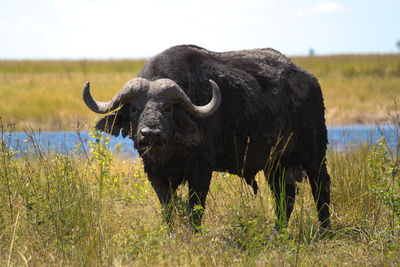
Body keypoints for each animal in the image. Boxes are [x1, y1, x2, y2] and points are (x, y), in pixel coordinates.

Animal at [82, 45, 332, 233]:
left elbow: (195, 207)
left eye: (167, 108)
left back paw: (325, 231)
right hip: (275, 163)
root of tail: (311, 81)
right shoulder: (154, 173)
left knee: (321, 187)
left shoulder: (201, 170)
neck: (171, 148)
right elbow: (168, 207)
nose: (150, 133)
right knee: (284, 196)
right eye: (135, 108)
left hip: (315, 153)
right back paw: (277, 232)